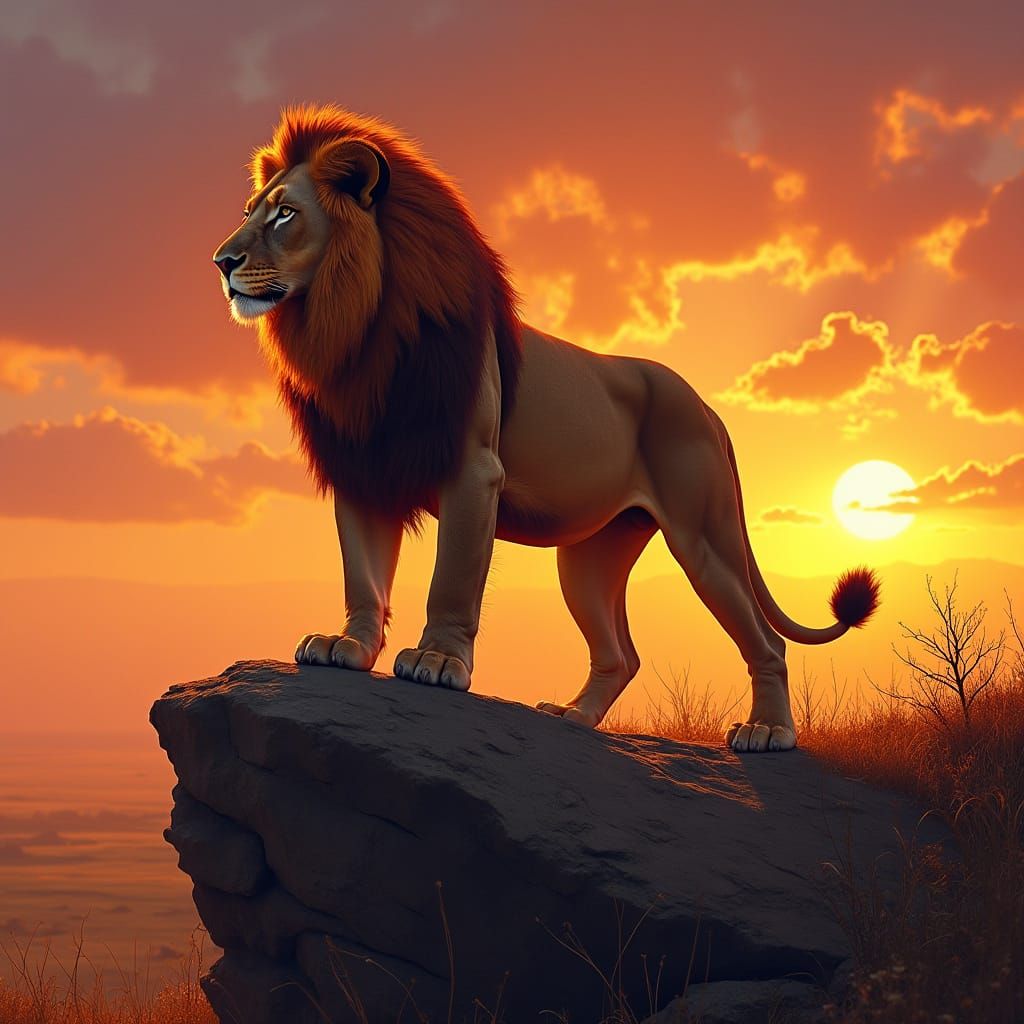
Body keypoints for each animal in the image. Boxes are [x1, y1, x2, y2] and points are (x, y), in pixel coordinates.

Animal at [212, 105, 879, 752]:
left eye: (286, 214)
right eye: (248, 212)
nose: (222, 261)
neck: (357, 331)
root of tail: (708, 407)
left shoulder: (474, 471)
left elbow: (451, 579)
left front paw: (437, 661)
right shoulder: (363, 467)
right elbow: (364, 575)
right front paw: (348, 648)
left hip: (703, 538)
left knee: (768, 643)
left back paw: (769, 733)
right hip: (588, 557)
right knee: (620, 654)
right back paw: (573, 718)